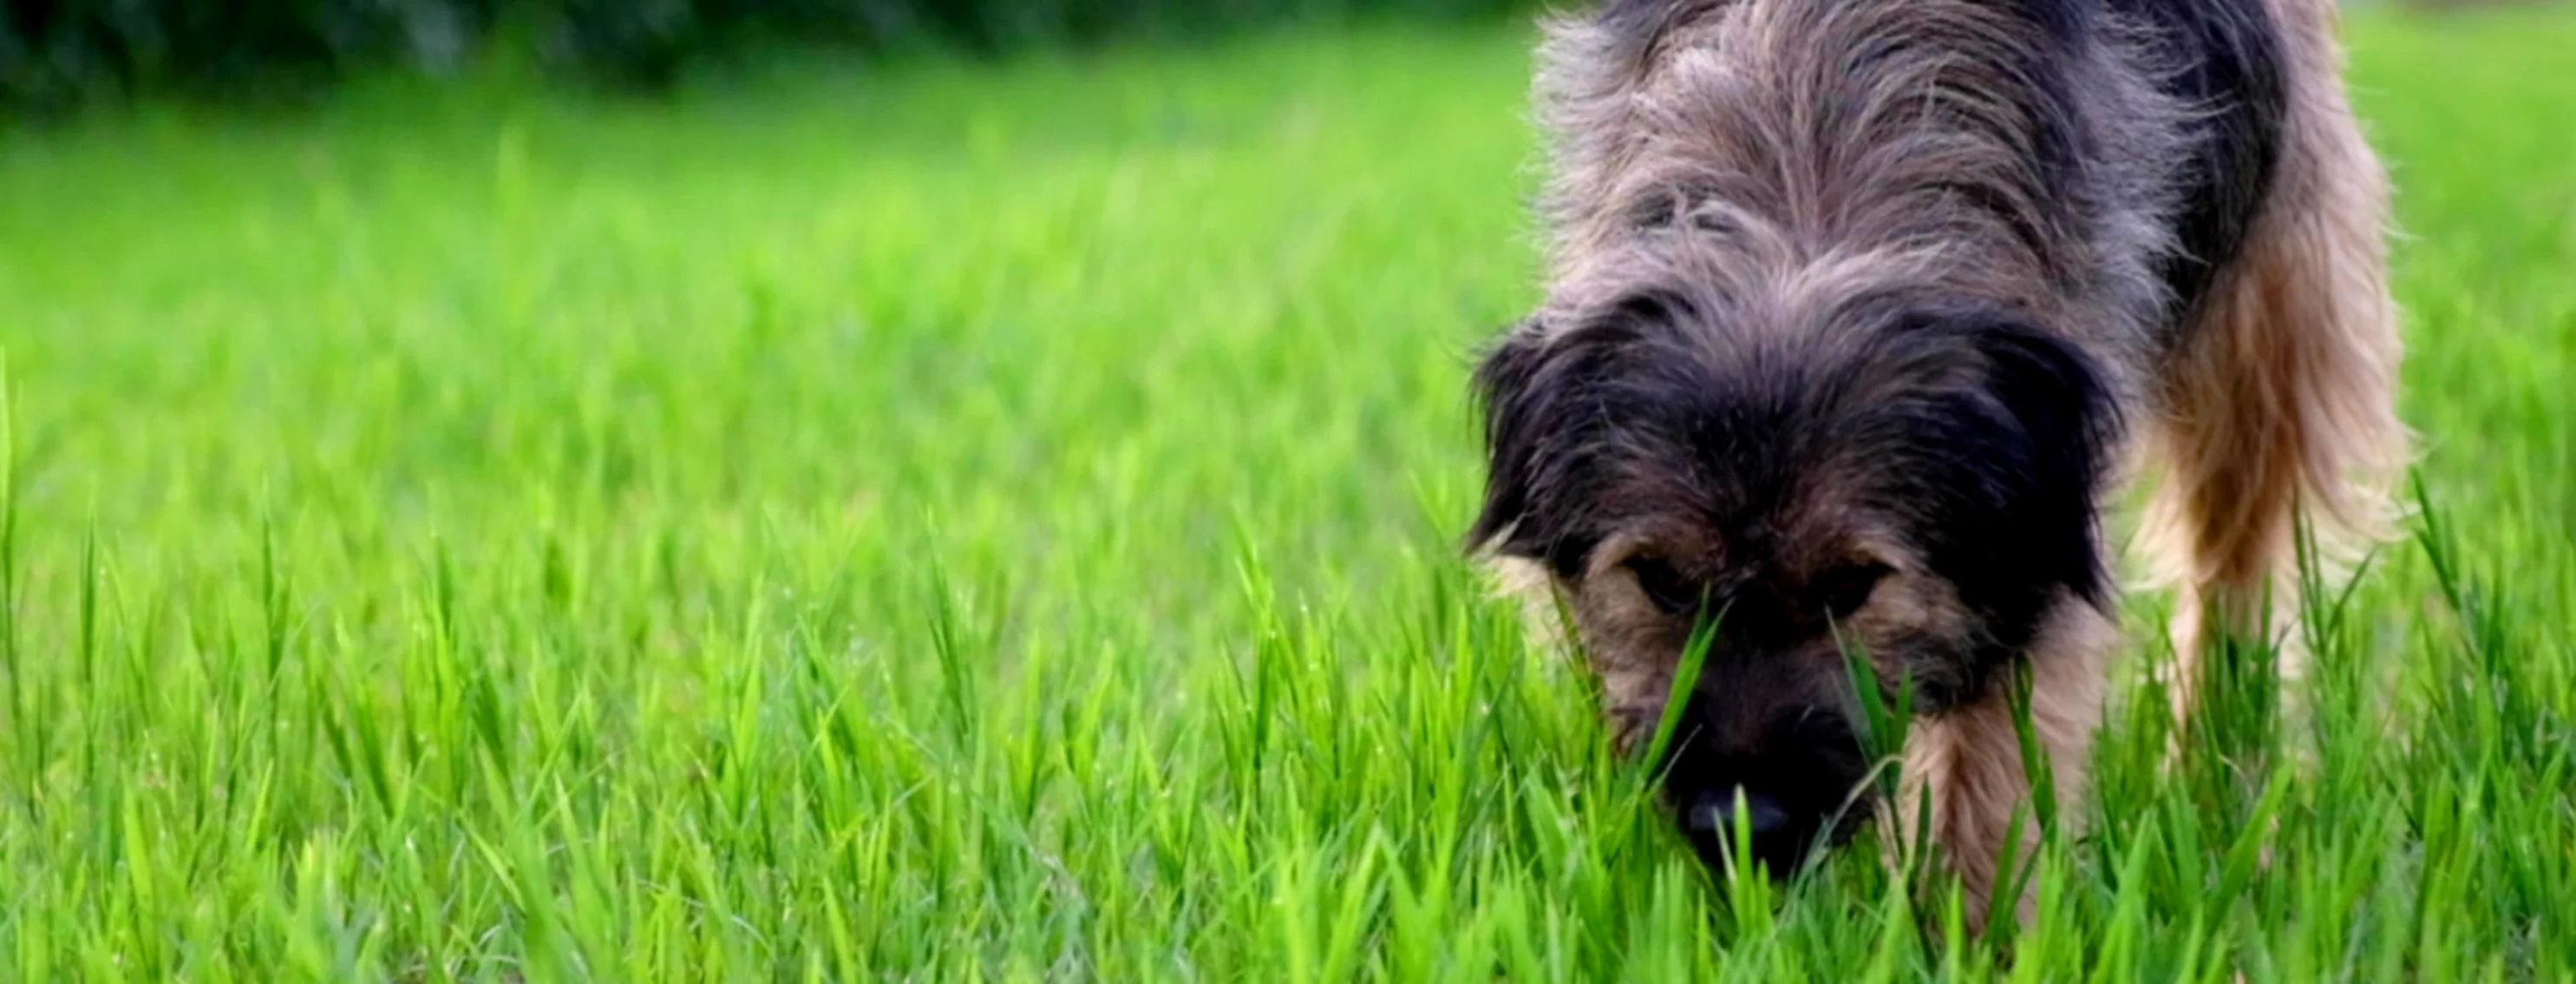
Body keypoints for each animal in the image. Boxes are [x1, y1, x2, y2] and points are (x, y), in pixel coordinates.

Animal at [1473, 0, 2410, 927]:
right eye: (1660, 579)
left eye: (1853, 584)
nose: (1743, 828)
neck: (1814, 125)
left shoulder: (2040, 522)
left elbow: (1991, 767)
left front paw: (1968, 934)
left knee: (2237, 560)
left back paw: (2218, 772)